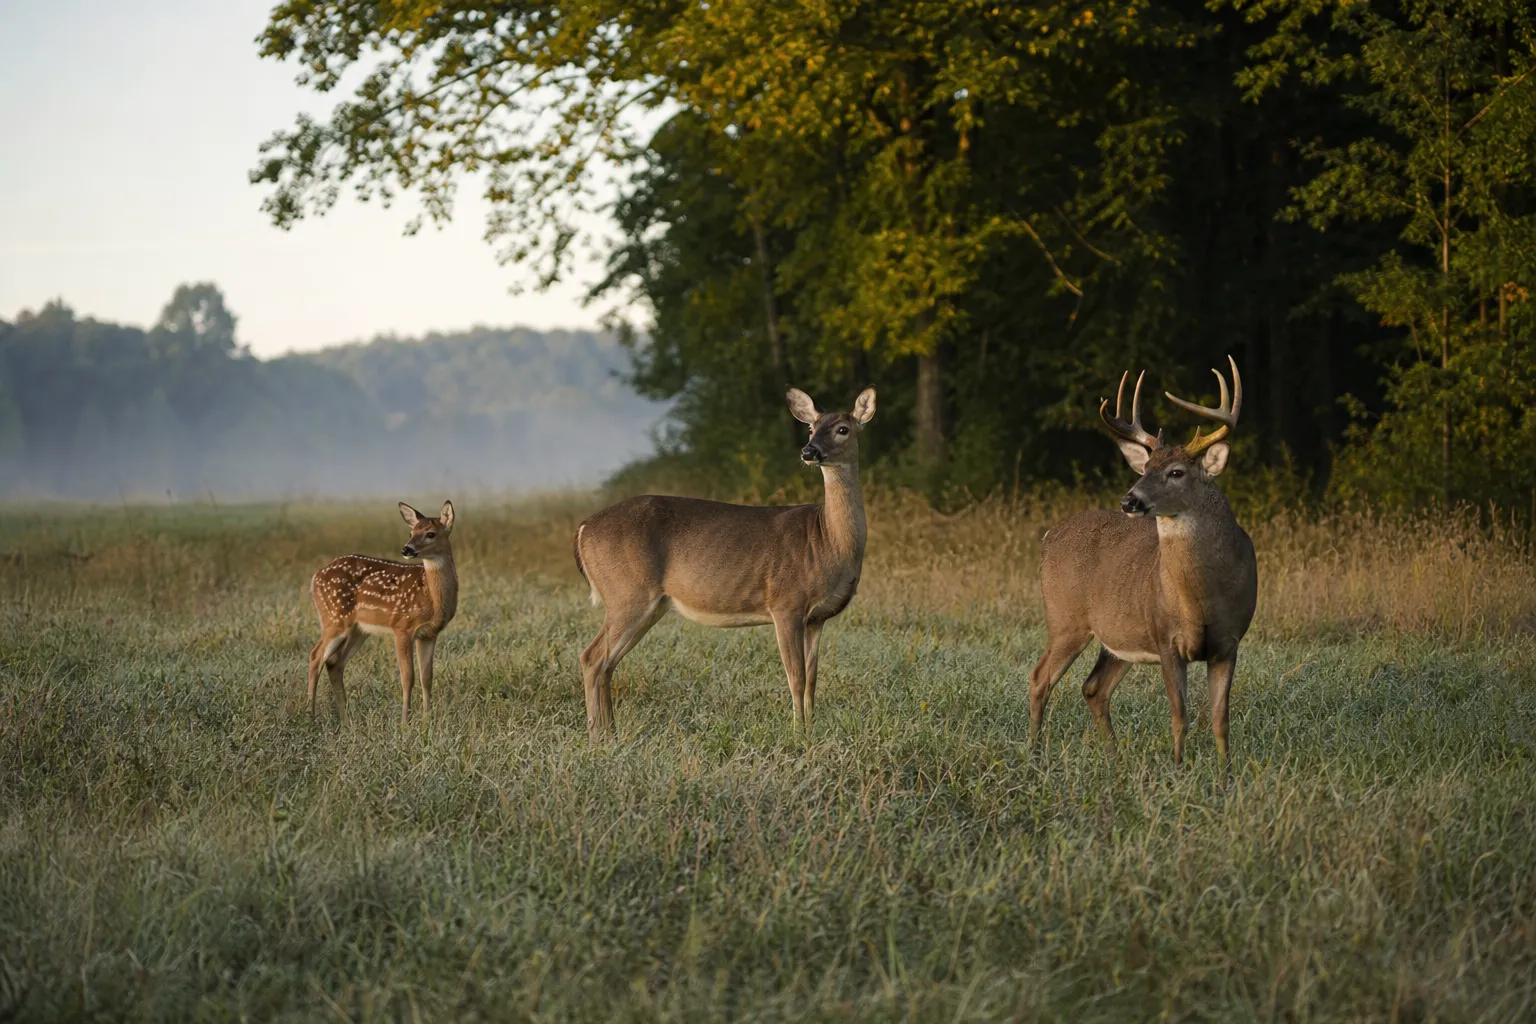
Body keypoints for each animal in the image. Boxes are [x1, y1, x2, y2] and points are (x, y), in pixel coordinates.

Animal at [306, 501, 459, 725]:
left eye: (430, 533)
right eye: (411, 531)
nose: (406, 549)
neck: (432, 597)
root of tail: (315, 578)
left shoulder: (429, 634)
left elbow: (427, 678)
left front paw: (427, 720)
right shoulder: (402, 627)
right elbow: (408, 677)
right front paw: (405, 722)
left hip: (358, 630)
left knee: (334, 662)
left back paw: (346, 719)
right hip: (334, 618)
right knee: (316, 656)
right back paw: (310, 717)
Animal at [572, 387, 876, 739]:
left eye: (842, 429)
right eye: (811, 428)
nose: (809, 451)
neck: (828, 539)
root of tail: (583, 528)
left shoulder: (817, 618)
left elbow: (813, 679)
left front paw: (810, 729)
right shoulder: (786, 604)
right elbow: (796, 678)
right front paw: (797, 734)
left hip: (650, 605)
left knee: (607, 663)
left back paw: (611, 734)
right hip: (627, 593)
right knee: (592, 657)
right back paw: (598, 736)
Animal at [1029, 358, 1257, 768]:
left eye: (1176, 472)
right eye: (1145, 467)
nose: (1129, 500)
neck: (1203, 598)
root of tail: (1048, 537)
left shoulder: (1229, 642)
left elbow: (1220, 720)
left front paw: (1226, 774)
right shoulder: (1166, 638)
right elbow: (1180, 716)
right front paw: (1178, 769)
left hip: (1118, 635)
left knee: (1093, 687)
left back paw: (1114, 759)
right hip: (1065, 618)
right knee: (1040, 679)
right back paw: (1034, 756)